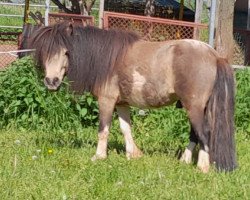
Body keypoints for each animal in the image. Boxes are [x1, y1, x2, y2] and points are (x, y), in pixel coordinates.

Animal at [29, 21, 236, 172]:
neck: (105, 59)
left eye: (66, 52)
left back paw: (202, 166)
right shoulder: (121, 103)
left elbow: (103, 129)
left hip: (194, 106)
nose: (51, 81)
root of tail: (214, 55)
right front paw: (133, 154)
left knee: (204, 132)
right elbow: (125, 128)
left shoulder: (106, 101)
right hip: (196, 106)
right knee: (195, 133)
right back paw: (184, 161)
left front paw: (99, 156)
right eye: (45, 52)